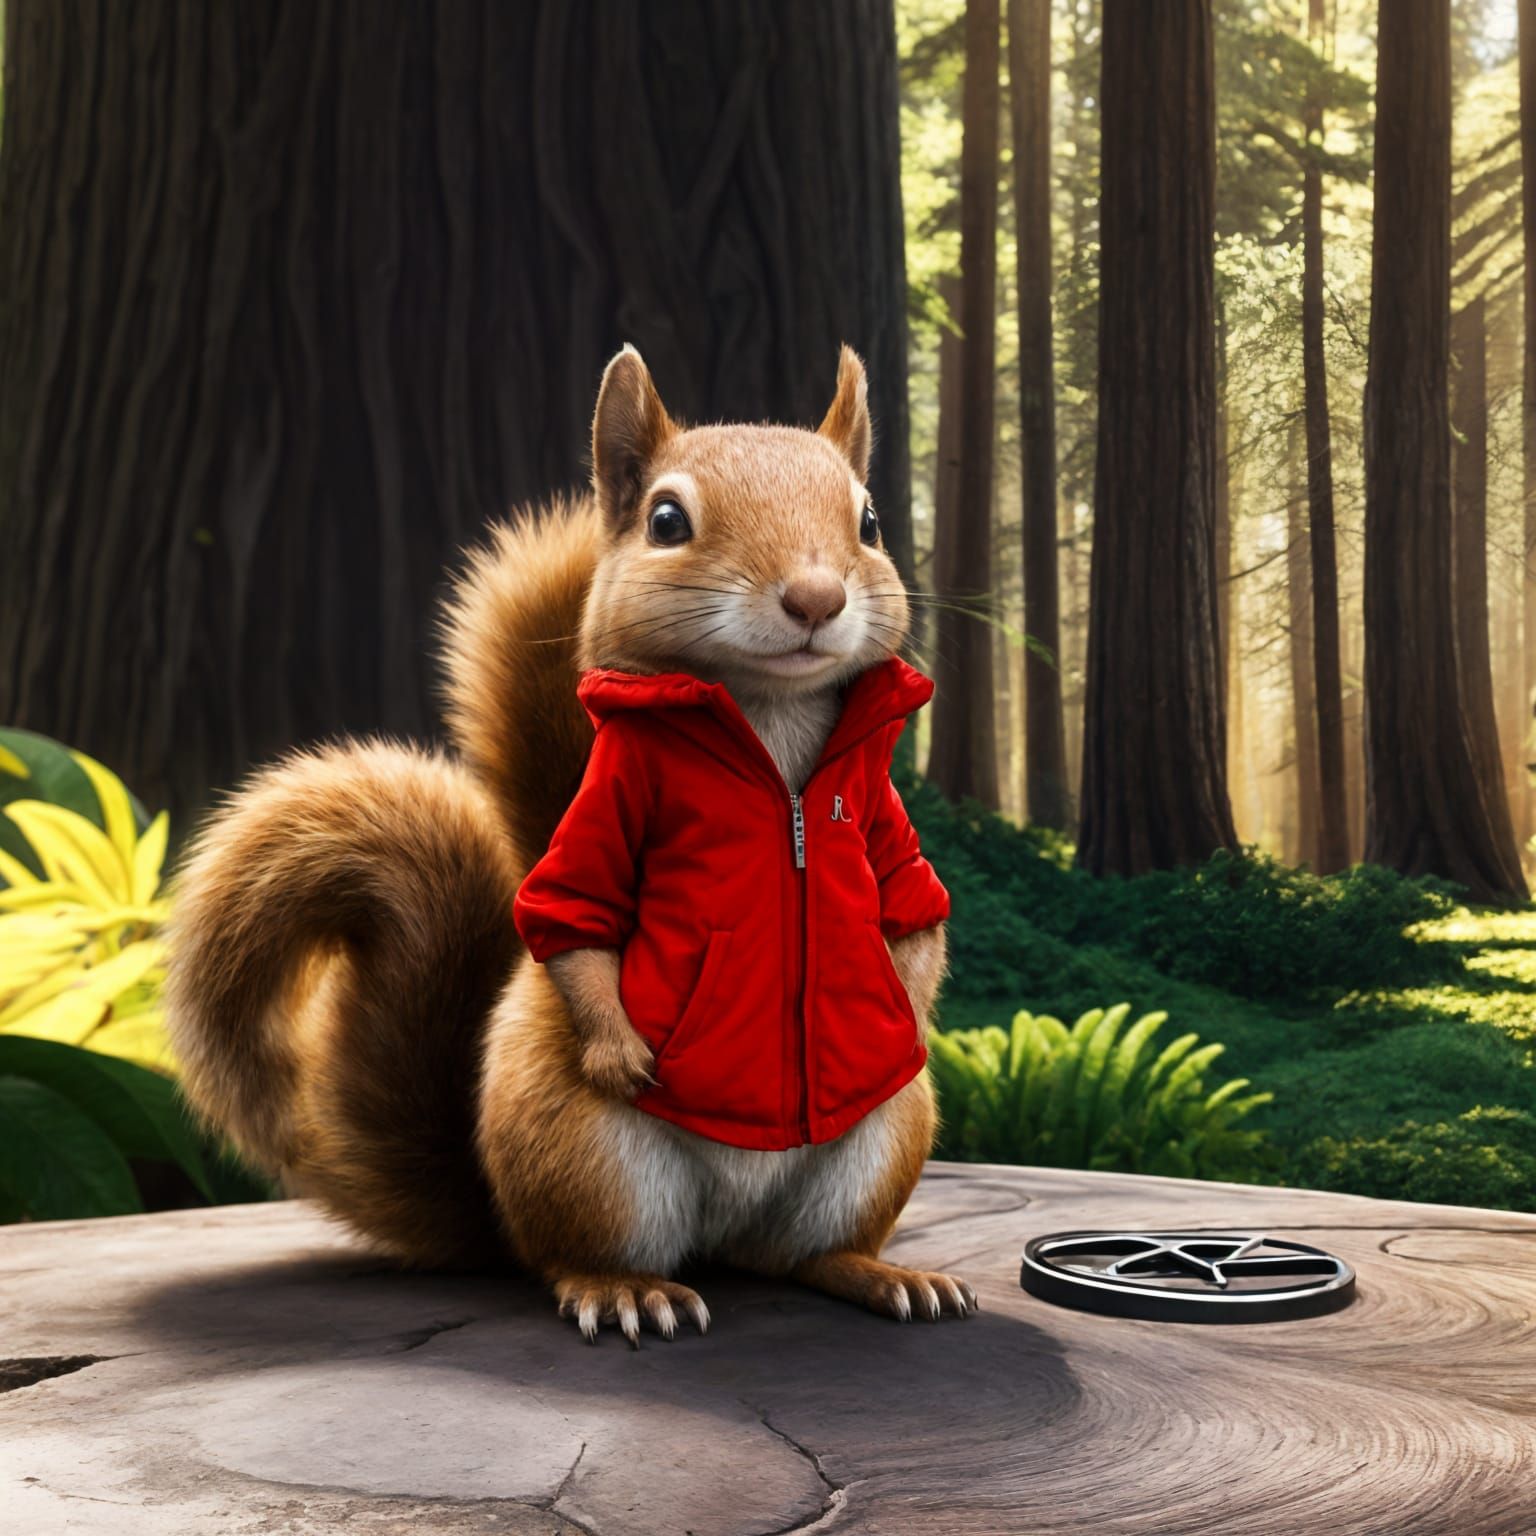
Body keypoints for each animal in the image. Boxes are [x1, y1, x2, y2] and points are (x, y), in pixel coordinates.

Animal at [164, 345, 975, 1344]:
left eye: (868, 519)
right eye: (667, 521)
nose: (816, 597)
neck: (771, 724)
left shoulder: (879, 820)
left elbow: (911, 908)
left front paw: (905, 1018)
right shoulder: (614, 813)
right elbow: (574, 908)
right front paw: (624, 1050)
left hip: (880, 1142)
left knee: (803, 1255)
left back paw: (882, 1273)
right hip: (584, 1152)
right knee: (571, 1256)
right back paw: (623, 1290)